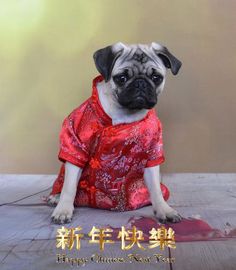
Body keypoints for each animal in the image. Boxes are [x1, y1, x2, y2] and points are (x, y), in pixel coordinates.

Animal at [48, 41, 183, 224]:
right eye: (122, 78)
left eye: (156, 78)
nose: (140, 83)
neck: (125, 114)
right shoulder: (75, 147)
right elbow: (69, 186)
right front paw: (63, 210)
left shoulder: (151, 154)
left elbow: (155, 188)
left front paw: (164, 210)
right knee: (63, 183)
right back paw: (56, 197)